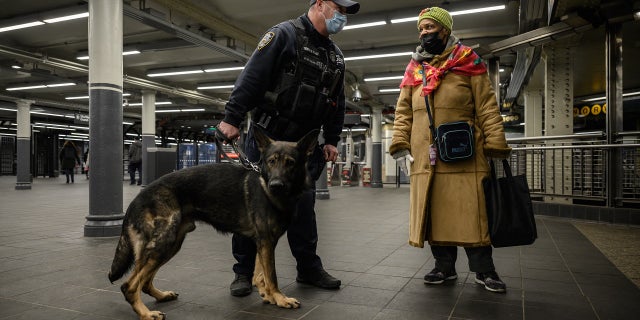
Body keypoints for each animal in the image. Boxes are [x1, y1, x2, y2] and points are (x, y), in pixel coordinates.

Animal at [110, 127, 320, 320]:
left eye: (290, 163)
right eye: (271, 161)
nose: (275, 185)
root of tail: (138, 198)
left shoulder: (265, 242)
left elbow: (261, 274)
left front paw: (269, 296)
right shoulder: (266, 242)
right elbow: (272, 275)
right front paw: (280, 298)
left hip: (170, 245)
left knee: (143, 282)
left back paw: (161, 296)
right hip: (164, 243)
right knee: (129, 286)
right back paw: (146, 313)